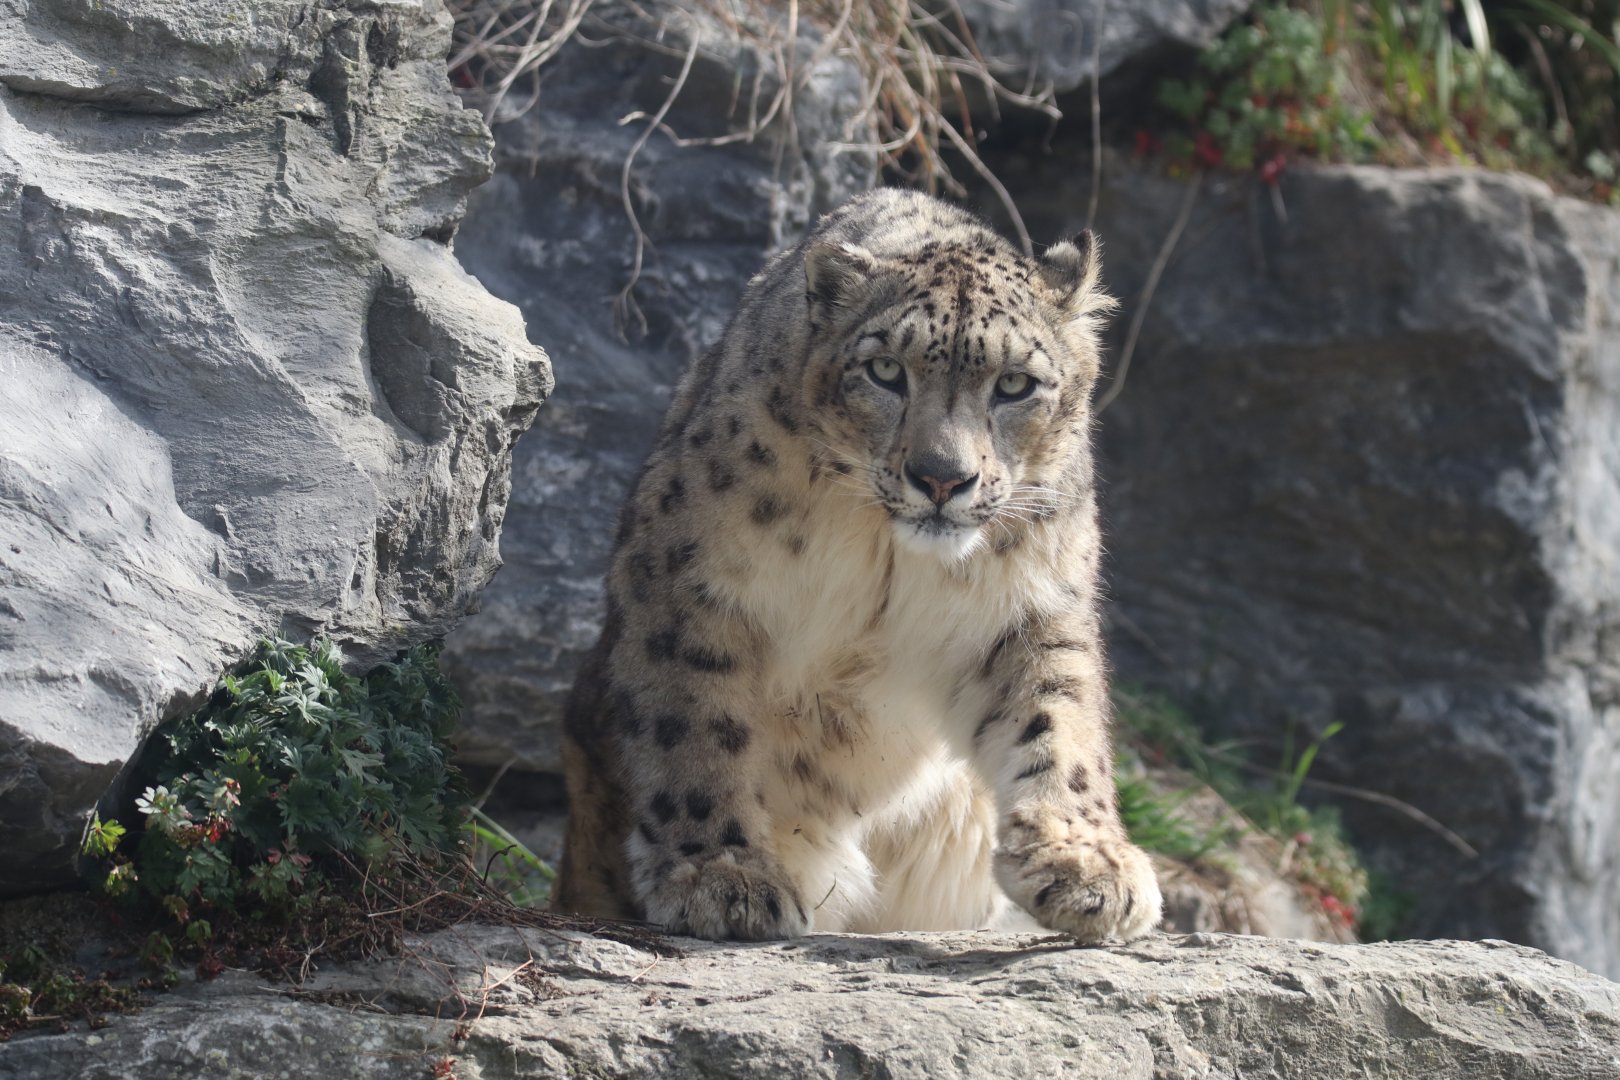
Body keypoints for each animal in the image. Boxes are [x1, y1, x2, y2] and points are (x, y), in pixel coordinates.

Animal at [552, 187, 1162, 942]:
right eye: (885, 371)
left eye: (1016, 384)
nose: (941, 477)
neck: (889, 556)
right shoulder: (691, 582)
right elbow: (692, 719)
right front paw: (722, 876)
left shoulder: (1030, 607)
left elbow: (1057, 717)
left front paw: (1086, 864)